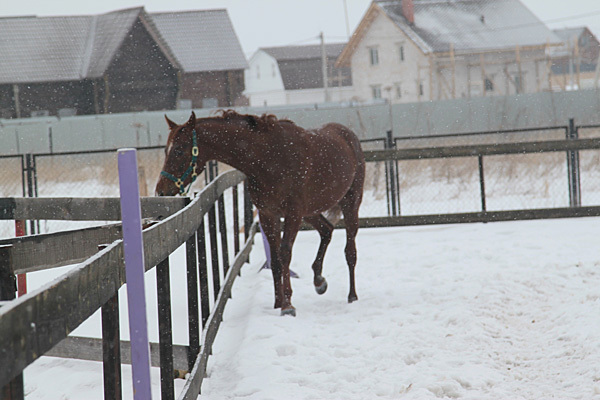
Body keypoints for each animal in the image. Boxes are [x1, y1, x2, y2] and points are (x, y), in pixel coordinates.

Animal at [155, 110, 366, 316]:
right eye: (165, 150)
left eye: (179, 149)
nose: (161, 191)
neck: (268, 158)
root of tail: (350, 136)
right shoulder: (268, 214)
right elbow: (275, 259)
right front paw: (278, 303)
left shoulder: (293, 214)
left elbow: (285, 253)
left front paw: (288, 306)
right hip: (310, 212)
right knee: (327, 230)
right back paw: (319, 281)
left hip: (350, 204)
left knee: (350, 251)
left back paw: (352, 296)